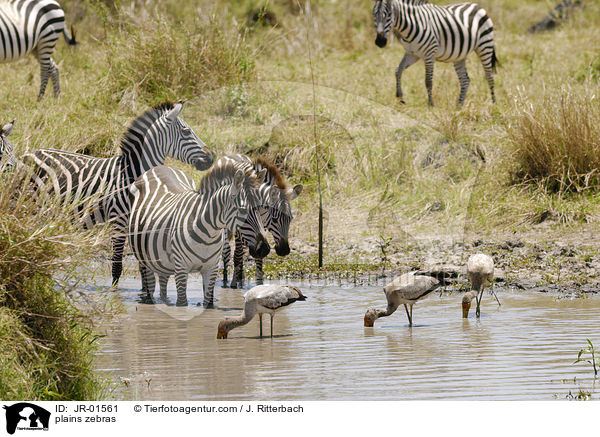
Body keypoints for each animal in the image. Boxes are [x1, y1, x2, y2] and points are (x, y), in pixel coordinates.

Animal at [24, 102, 216, 286]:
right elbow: (117, 263)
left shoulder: (138, 219)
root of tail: (30, 153)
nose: (211, 157)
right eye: (186, 131)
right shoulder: (118, 218)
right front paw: (114, 292)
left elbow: (143, 262)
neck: (131, 173)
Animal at [129, 163, 272, 306]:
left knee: (163, 284)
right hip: (145, 258)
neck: (208, 235)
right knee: (149, 284)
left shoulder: (211, 268)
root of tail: (159, 167)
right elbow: (182, 303)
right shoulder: (181, 268)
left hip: (163, 262)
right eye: (243, 210)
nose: (264, 249)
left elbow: (208, 303)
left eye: (260, 209)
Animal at [218, 154, 302, 290]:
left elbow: (259, 255)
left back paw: (241, 277)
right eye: (275, 219)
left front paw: (259, 283)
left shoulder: (261, 226)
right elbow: (237, 254)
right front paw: (233, 284)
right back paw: (226, 280)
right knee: (227, 252)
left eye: (290, 219)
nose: (284, 250)